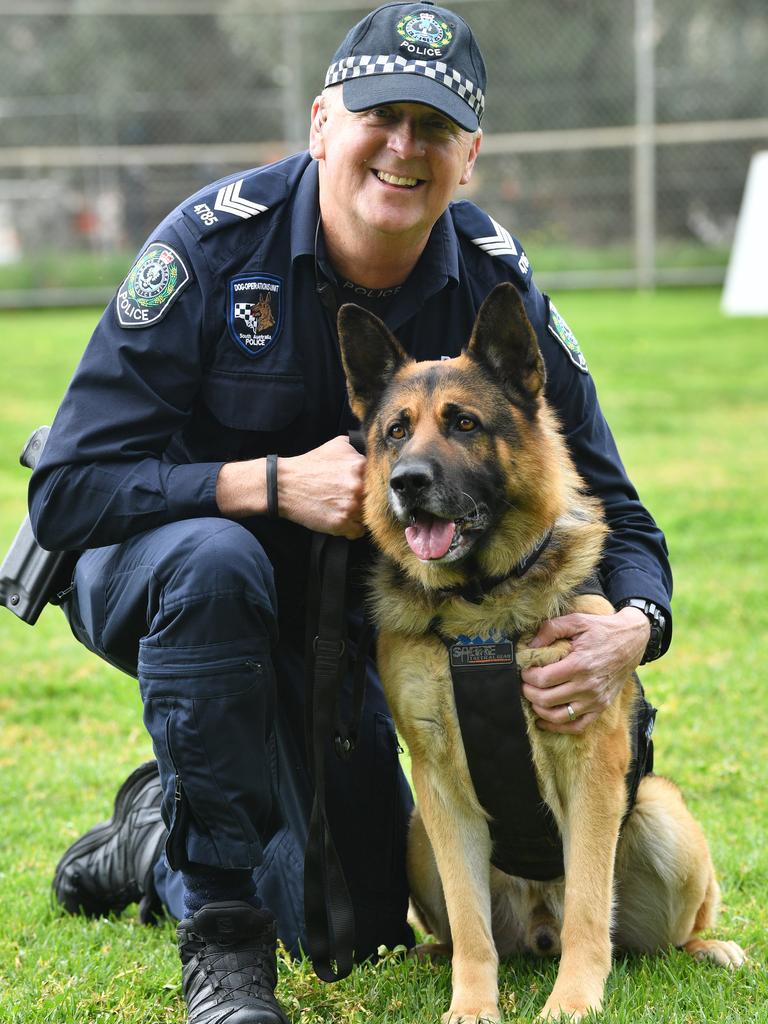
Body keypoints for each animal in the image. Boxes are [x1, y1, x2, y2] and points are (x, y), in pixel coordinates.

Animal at [335, 282, 745, 1024]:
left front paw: (575, 1000)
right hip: (417, 835)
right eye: (396, 432)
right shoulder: (440, 789)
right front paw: (471, 1004)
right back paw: (428, 955)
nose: (406, 482)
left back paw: (708, 948)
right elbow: (471, 925)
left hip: (663, 815)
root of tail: (537, 925)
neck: (480, 604)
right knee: (466, 929)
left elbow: (588, 904)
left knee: (659, 933)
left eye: (465, 424)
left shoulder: (590, 766)